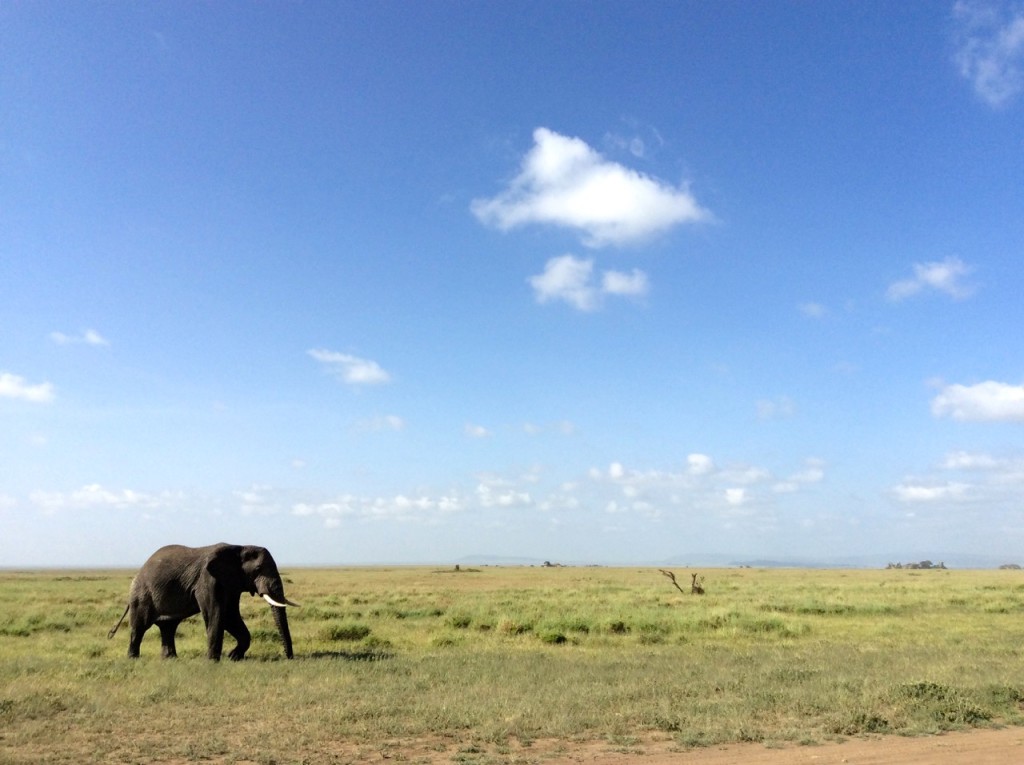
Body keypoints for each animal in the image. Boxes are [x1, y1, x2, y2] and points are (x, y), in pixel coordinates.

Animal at [109, 544, 299, 659]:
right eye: (258, 569)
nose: (289, 657)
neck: (239, 547)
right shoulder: (206, 580)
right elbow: (216, 614)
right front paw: (213, 661)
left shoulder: (232, 583)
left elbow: (230, 616)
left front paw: (232, 657)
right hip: (141, 595)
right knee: (139, 627)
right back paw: (133, 659)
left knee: (168, 627)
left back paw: (170, 659)